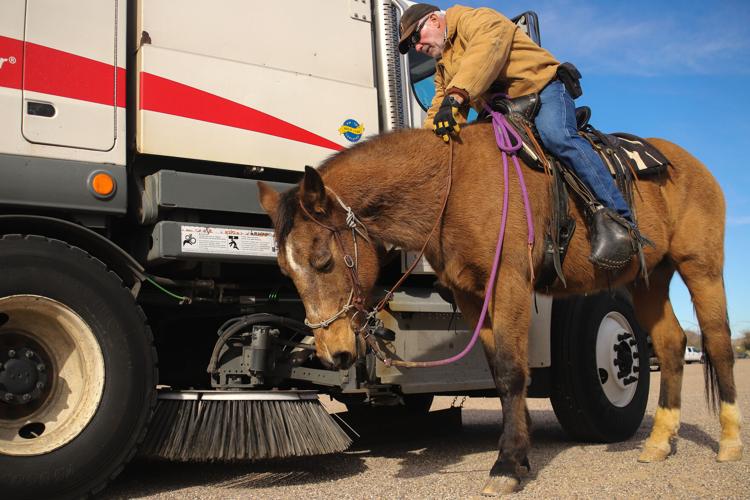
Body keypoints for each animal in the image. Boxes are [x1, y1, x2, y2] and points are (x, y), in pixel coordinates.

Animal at [257, 123, 742, 495]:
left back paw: (731, 442)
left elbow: (511, 372)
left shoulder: (509, 283)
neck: (451, 187)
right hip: (649, 278)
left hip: (701, 267)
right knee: (672, 344)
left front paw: (507, 464)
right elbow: (497, 369)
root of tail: (690, 163)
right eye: (283, 268)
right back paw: (659, 442)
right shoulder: (473, 299)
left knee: (718, 344)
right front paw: (519, 452)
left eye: (323, 260)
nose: (334, 352)